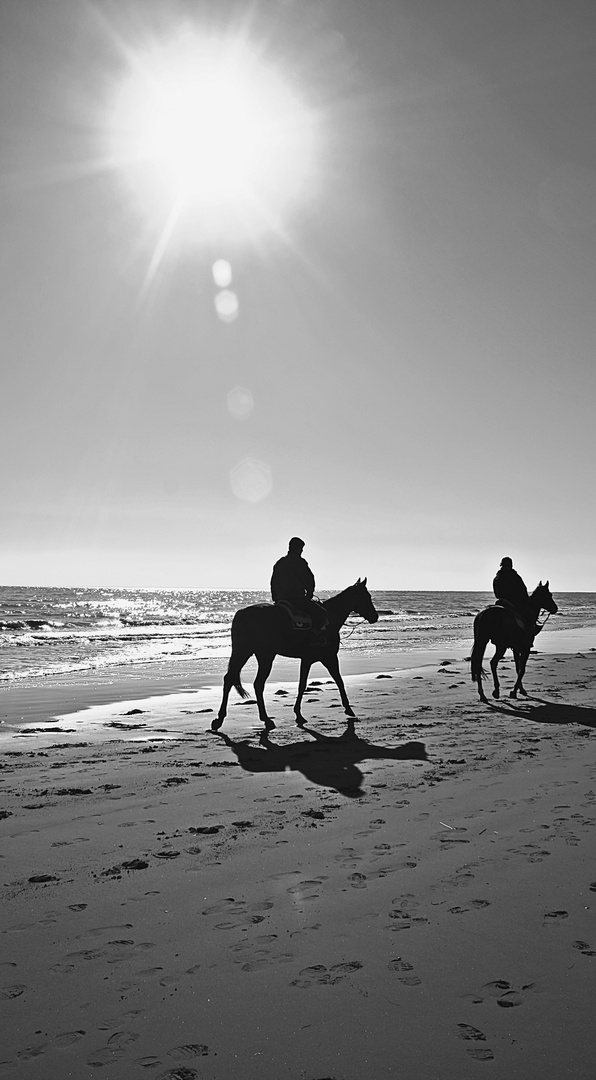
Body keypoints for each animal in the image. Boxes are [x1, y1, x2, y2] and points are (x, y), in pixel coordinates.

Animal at [213, 578, 380, 730]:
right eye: (366, 596)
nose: (375, 616)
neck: (331, 617)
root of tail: (242, 613)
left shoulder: (307, 659)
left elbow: (302, 685)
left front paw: (298, 714)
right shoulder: (329, 657)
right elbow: (338, 681)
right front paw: (348, 709)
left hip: (248, 652)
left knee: (232, 679)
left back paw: (221, 719)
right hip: (263, 655)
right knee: (256, 683)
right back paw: (264, 719)